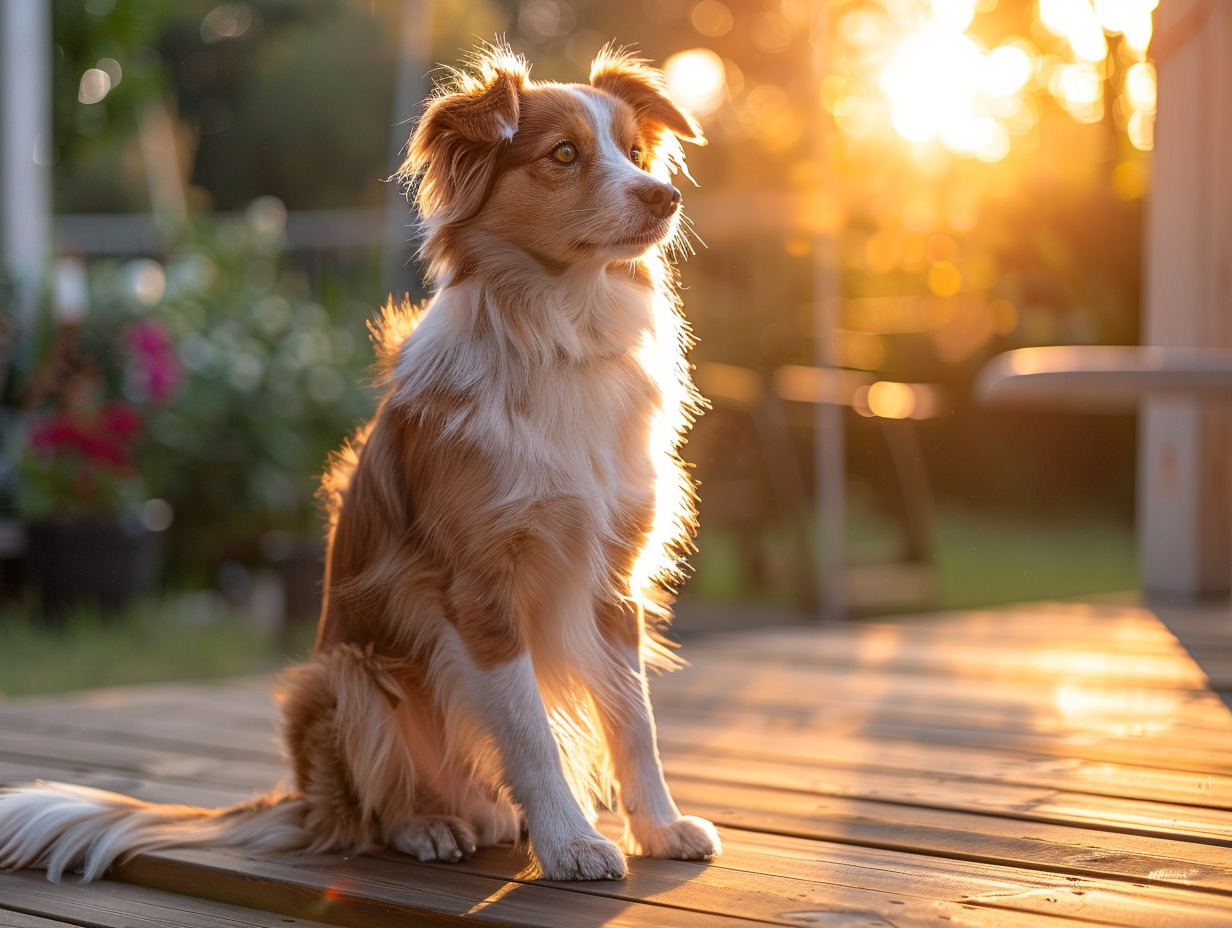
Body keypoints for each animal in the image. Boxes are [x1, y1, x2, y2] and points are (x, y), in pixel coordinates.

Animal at [0, 43, 719, 882]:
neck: (560, 332)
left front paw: (659, 828)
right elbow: (530, 733)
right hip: (345, 674)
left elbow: (635, 722)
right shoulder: (479, 590)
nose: (665, 197)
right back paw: (430, 825)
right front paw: (570, 841)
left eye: (635, 153)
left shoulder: (613, 579)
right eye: (564, 155)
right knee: (370, 815)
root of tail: (304, 795)